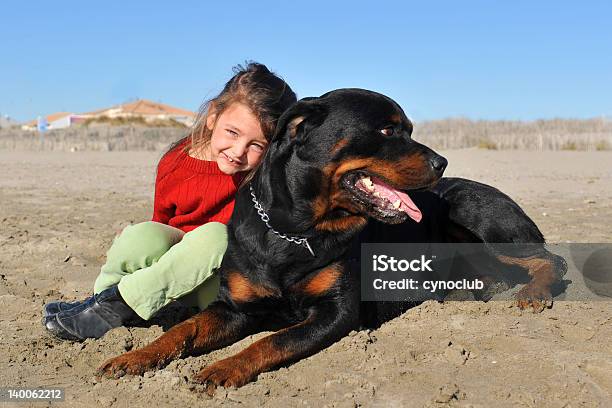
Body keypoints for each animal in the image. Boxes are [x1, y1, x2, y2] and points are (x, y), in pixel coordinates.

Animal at [99, 89, 564, 392]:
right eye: (387, 130)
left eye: (408, 129)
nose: (442, 161)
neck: (295, 229)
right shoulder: (237, 308)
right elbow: (184, 329)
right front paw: (133, 357)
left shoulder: (335, 313)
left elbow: (271, 340)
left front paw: (224, 368)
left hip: (475, 213)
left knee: (548, 260)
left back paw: (534, 293)